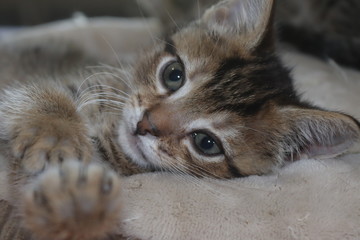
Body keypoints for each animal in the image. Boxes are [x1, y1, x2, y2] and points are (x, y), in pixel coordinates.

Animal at [0, 0, 360, 239]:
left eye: (206, 143)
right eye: (174, 74)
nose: (144, 125)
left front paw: (77, 202)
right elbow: (43, 92)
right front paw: (54, 135)